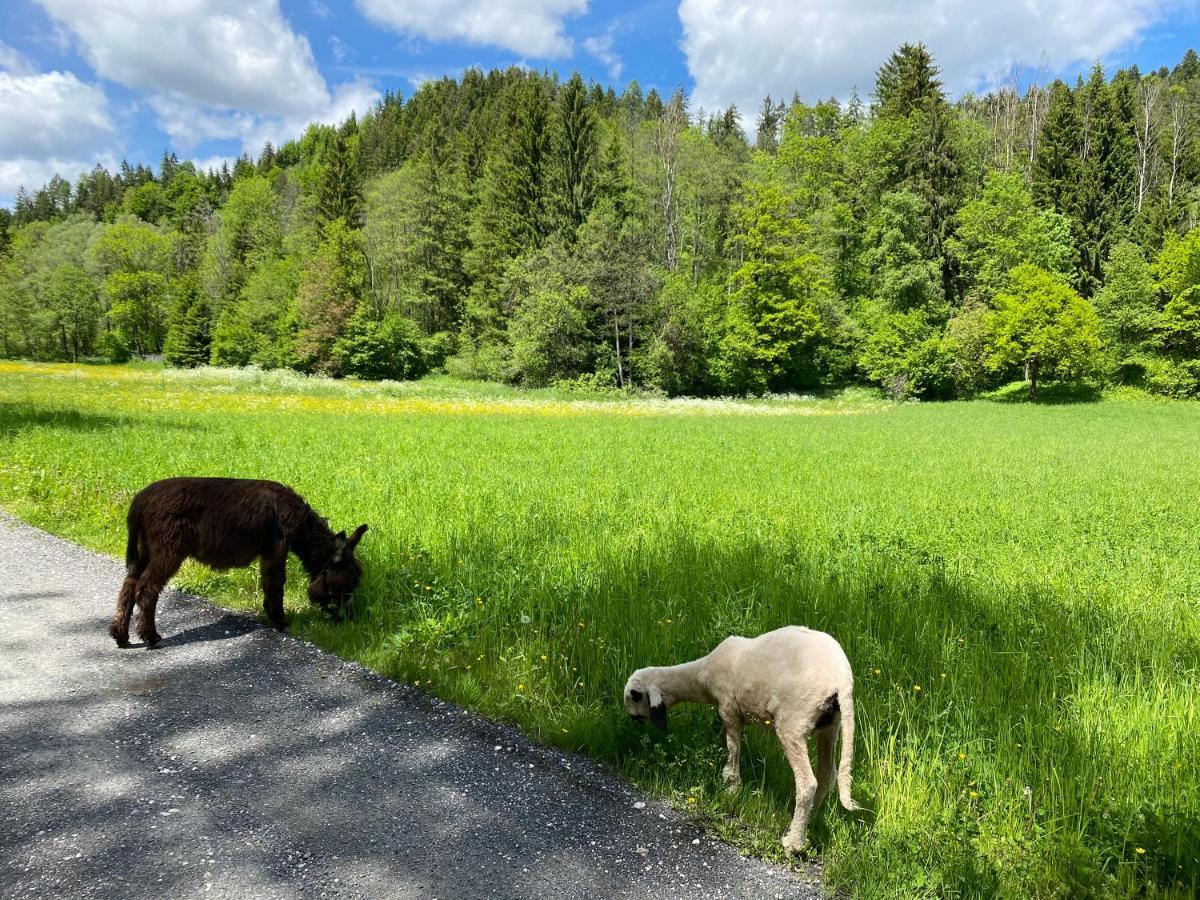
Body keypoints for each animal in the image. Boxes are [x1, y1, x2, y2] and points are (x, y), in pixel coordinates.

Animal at [624, 628, 859, 854]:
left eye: (635, 696)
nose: (632, 719)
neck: (701, 676)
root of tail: (841, 680)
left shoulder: (729, 707)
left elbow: (733, 749)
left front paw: (731, 789)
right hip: (830, 726)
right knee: (827, 774)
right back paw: (808, 822)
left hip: (794, 721)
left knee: (807, 782)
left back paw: (792, 842)